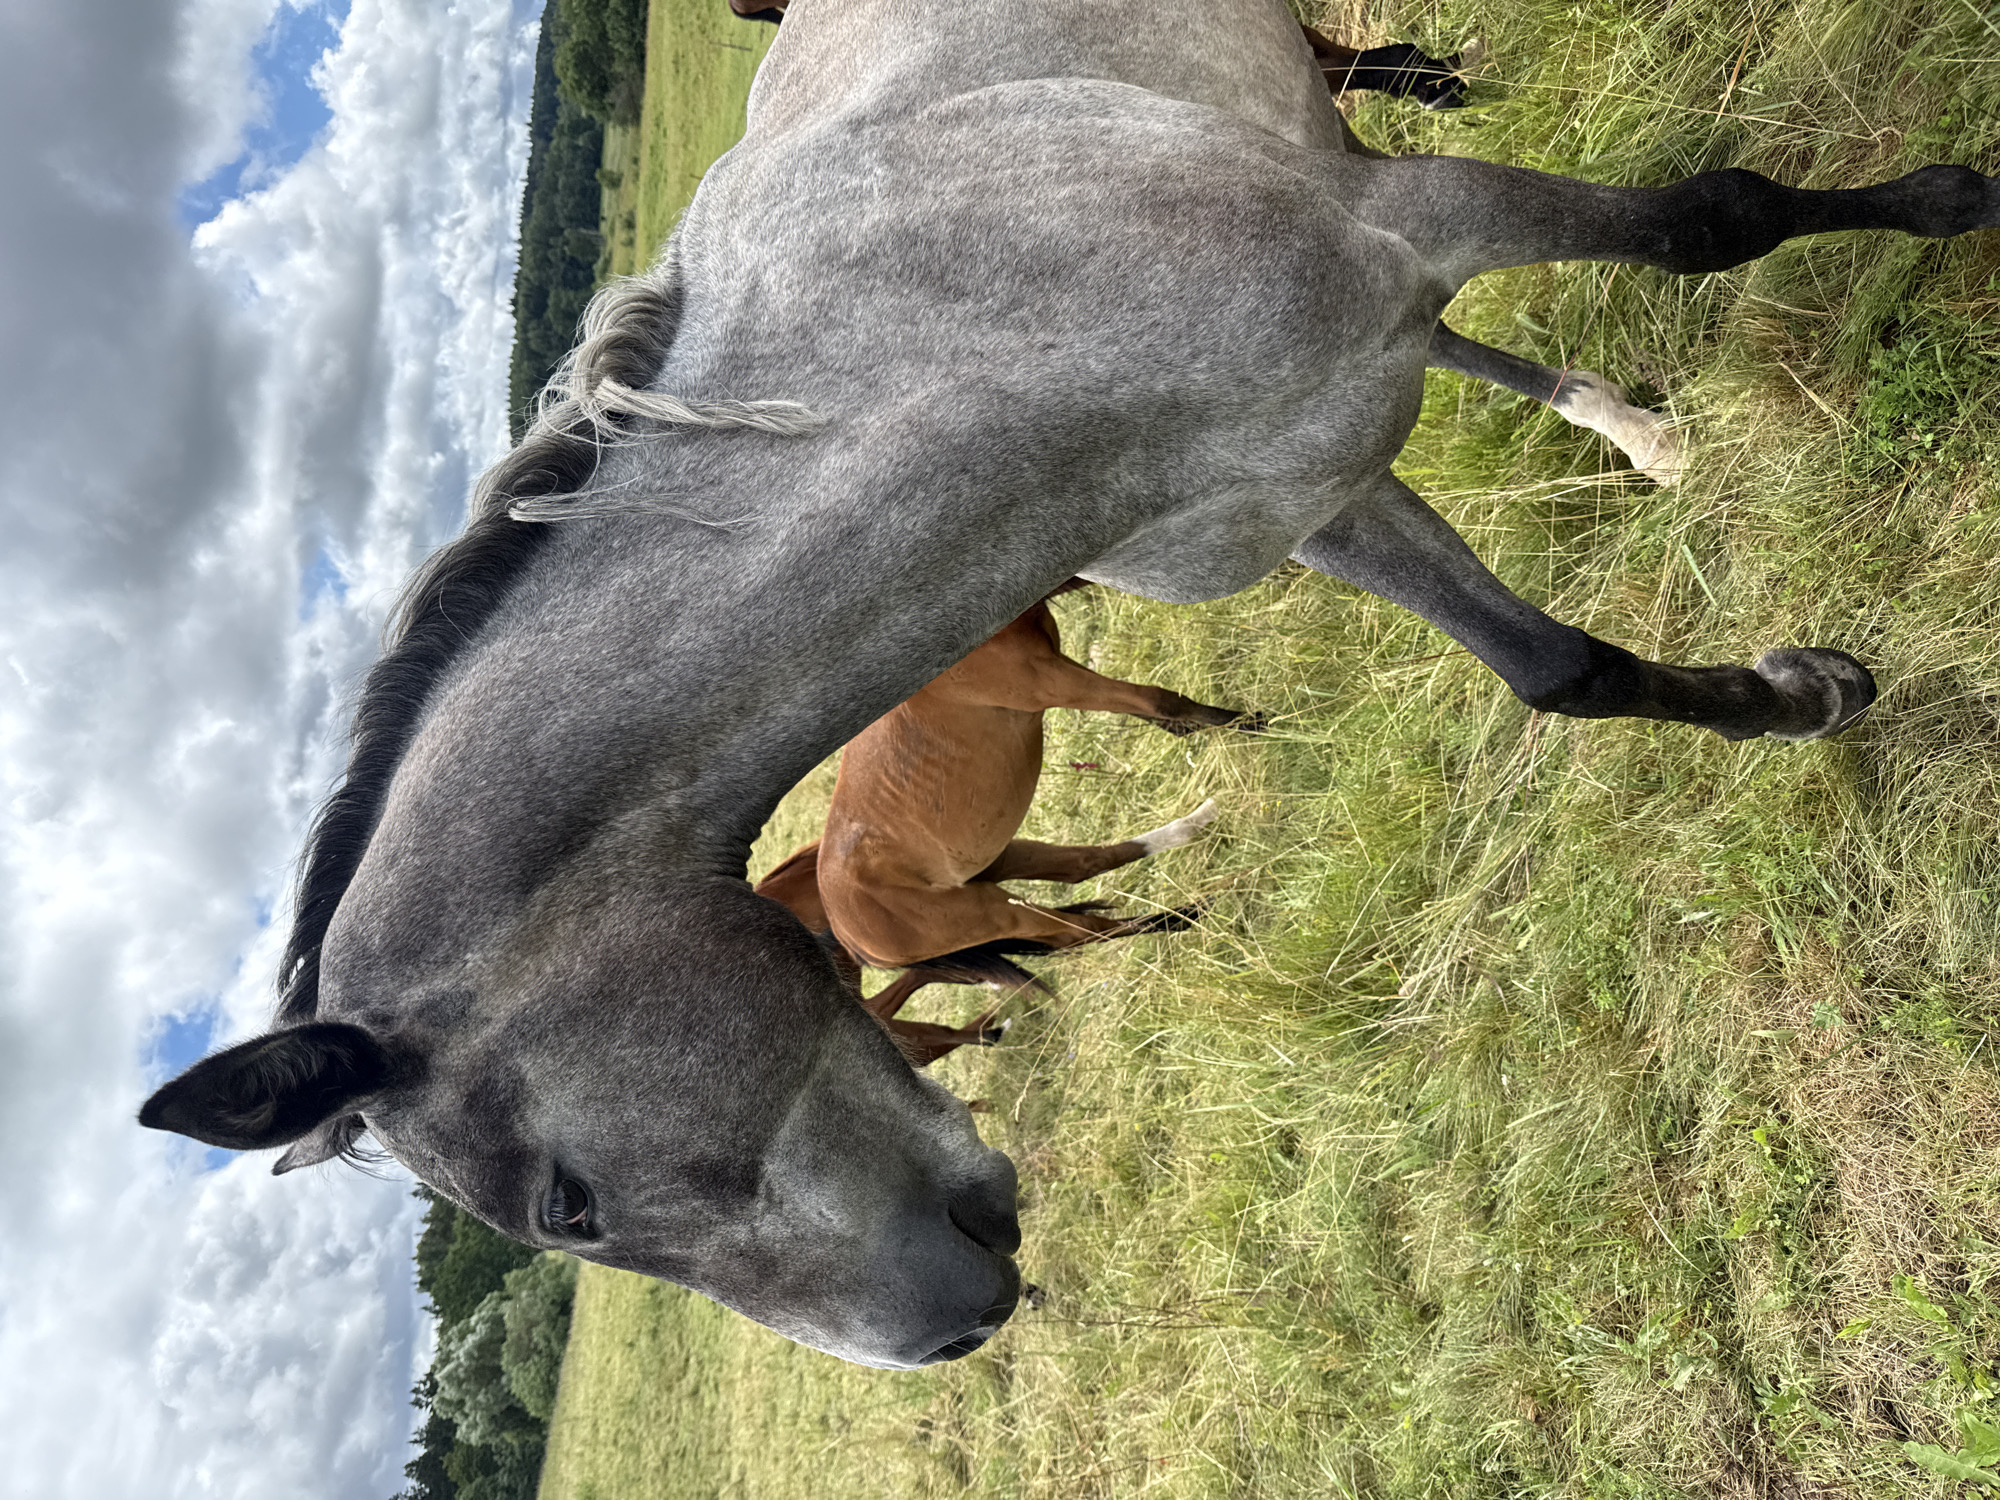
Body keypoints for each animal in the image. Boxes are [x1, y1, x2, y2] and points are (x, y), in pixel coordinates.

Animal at [141, 0, 1996, 1369]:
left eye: (564, 1208)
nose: (951, 1332)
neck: (973, 351)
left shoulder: (1407, 229)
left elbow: (1709, 219)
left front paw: (1961, 200)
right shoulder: (1309, 493)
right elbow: (1559, 674)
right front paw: (1803, 696)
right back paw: (1627, 430)